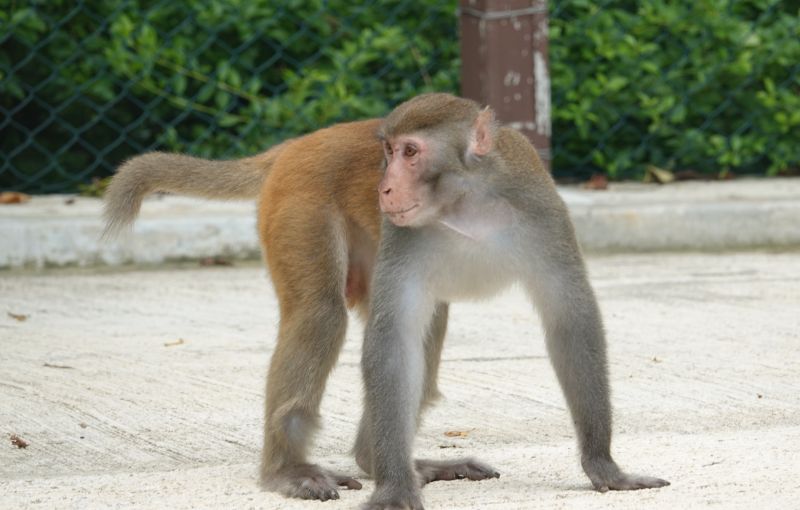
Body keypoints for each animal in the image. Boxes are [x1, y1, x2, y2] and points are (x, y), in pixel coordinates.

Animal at [103, 93, 669, 508]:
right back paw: (291, 470)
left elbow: (570, 322)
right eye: (388, 152)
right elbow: (392, 343)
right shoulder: (405, 237)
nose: (385, 188)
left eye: (411, 152)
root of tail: (297, 144)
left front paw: (603, 466)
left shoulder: (542, 214)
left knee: (430, 327)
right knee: (321, 315)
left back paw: (385, 461)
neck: (468, 204)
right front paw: (394, 490)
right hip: (299, 206)